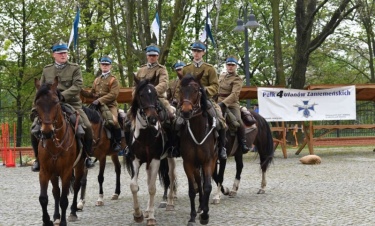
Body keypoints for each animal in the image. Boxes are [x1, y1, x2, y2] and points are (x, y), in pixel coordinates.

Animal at [33, 77, 85, 225]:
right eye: (37, 103)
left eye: (56, 102)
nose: (47, 132)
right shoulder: (45, 171)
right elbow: (44, 198)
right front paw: (47, 220)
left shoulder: (66, 171)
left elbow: (64, 199)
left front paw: (63, 222)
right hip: (53, 173)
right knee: (56, 191)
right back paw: (56, 216)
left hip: (79, 166)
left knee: (77, 186)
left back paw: (73, 212)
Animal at [123, 77, 176, 225]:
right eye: (141, 95)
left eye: (155, 95)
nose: (152, 119)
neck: (145, 135)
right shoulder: (135, 160)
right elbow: (134, 186)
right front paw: (138, 214)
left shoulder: (155, 160)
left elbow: (152, 188)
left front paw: (151, 217)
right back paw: (146, 210)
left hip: (169, 157)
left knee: (171, 176)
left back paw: (169, 203)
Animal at [178, 73, 217, 225]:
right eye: (180, 90)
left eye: (196, 90)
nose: (186, 111)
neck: (198, 129)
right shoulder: (188, 163)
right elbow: (192, 189)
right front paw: (193, 216)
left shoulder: (209, 161)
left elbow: (207, 186)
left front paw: (205, 215)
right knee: (198, 183)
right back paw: (200, 206)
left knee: (203, 184)